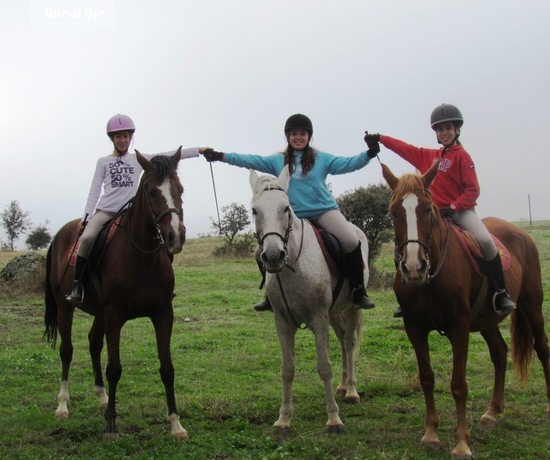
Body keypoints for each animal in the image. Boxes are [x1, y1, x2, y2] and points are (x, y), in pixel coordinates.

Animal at [43, 149, 190, 440]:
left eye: (180, 189)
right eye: (152, 191)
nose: (175, 237)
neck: (142, 257)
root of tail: (62, 233)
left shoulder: (163, 314)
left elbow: (167, 368)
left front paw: (176, 424)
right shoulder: (114, 315)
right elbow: (114, 369)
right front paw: (111, 424)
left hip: (99, 312)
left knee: (93, 344)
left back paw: (101, 398)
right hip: (66, 308)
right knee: (67, 350)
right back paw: (63, 405)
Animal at [250, 167, 370, 434]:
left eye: (286, 208)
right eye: (254, 211)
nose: (273, 256)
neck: (294, 264)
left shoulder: (318, 318)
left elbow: (324, 367)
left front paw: (334, 419)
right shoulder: (282, 322)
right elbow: (287, 369)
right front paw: (284, 419)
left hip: (353, 308)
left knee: (350, 342)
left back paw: (352, 391)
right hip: (334, 313)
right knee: (342, 339)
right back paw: (343, 386)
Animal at [384, 161, 550, 456]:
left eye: (428, 209)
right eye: (394, 212)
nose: (414, 268)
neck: (430, 280)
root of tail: (520, 233)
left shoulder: (458, 327)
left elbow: (459, 385)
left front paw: (462, 443)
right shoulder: (414, 327)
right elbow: (427, 378)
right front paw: (431, 433)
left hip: (532, 306)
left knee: (542, 349)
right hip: (487, 320)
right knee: (499, 353)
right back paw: (493, 412)